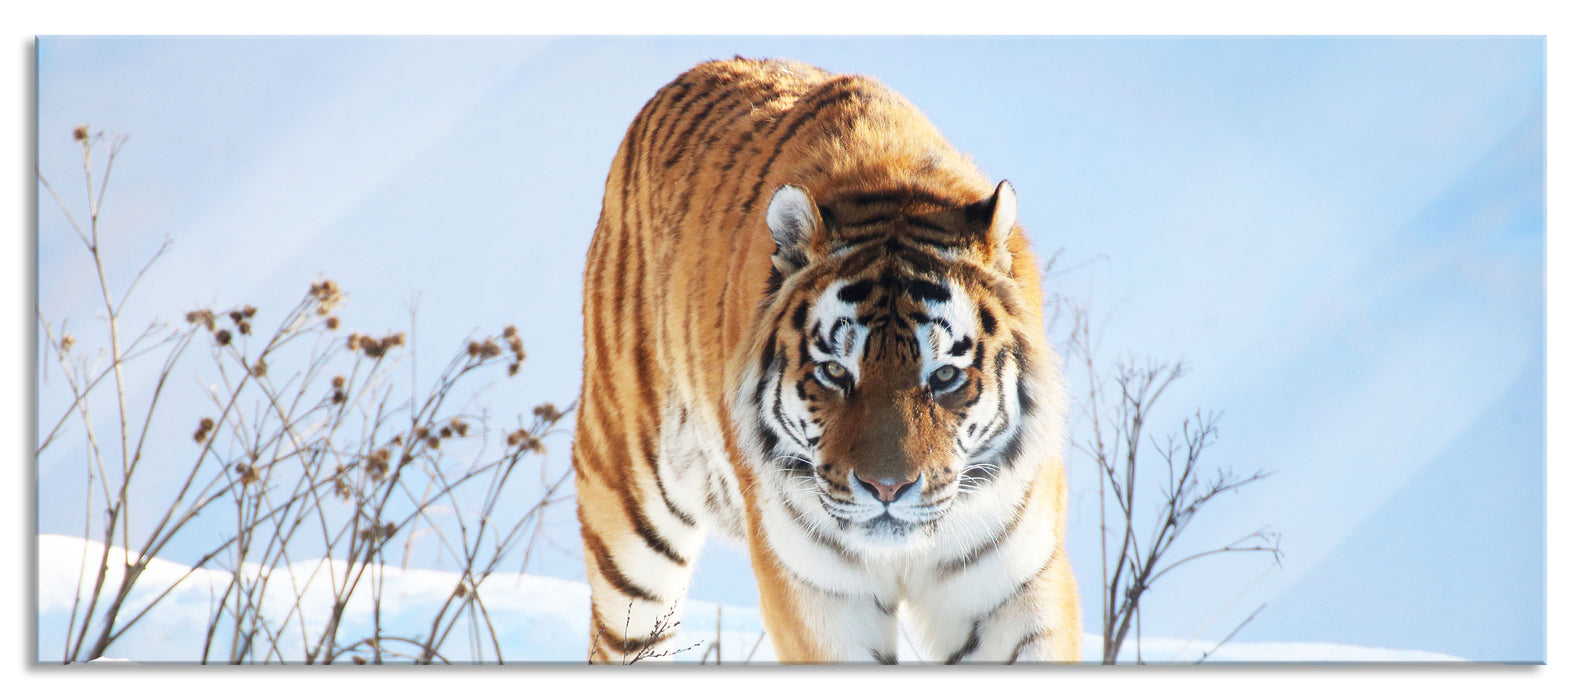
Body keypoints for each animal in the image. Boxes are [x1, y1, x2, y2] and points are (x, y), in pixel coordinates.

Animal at [569, 57, 1075, 665]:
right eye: (836, 372)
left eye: (945, 376)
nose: (887, 489)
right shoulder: (818, 592)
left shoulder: (1013, 584)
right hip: (629, 527)